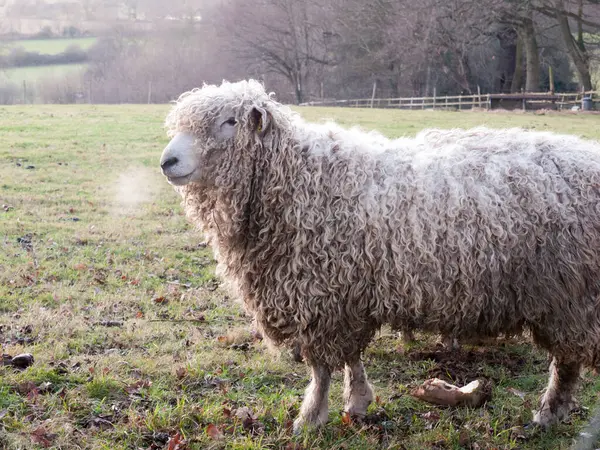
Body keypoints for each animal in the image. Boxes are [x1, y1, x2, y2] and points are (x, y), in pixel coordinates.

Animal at [158, 80, 600, 432]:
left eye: (230, 122)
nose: (167, 161)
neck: (299, 179)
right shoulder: (346, 294)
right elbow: (350, 357)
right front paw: (357, 401)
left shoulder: (321, 295)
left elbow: (321, 368)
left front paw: (309, 418)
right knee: (569, 360)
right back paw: (550, 415)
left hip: (572, 297)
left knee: (568, 361)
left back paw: (549, 413)